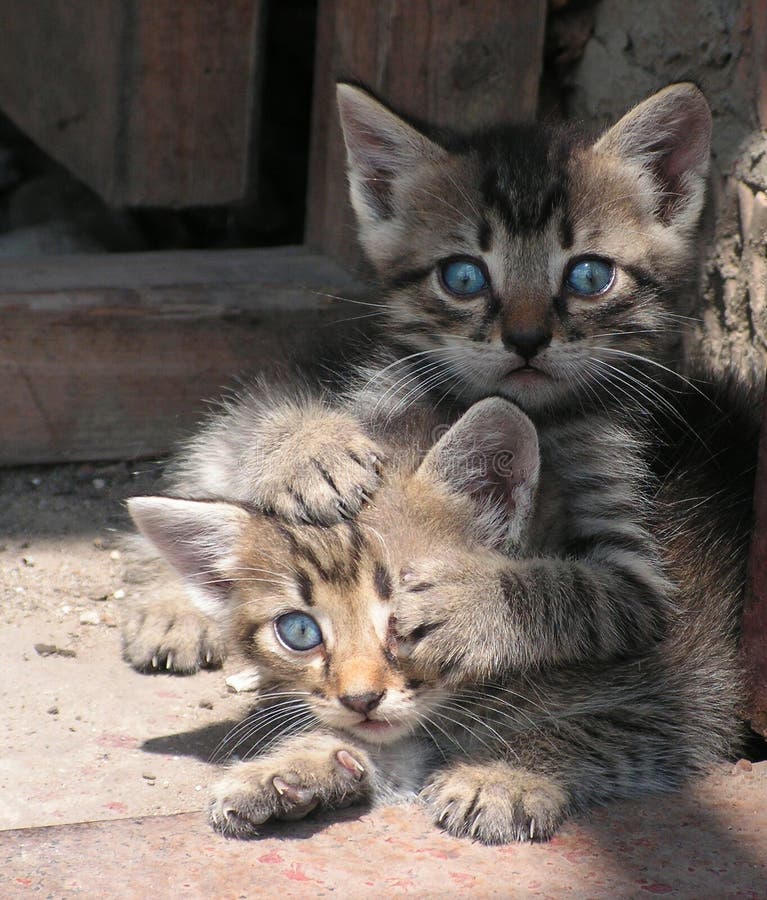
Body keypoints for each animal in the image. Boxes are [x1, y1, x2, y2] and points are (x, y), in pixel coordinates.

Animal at [129, 400, 740, 844]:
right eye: (298, 632)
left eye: (408, 617)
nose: (360, 698)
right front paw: (294, 765)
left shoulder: (678, 699)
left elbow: (589, 728)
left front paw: (500, 774)